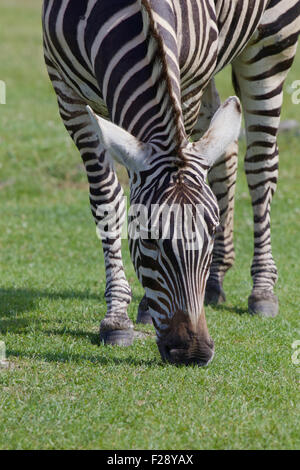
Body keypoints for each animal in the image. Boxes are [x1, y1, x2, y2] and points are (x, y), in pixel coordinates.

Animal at [42, 0, 300, 366]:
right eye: (148, 238)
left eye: (210, 231)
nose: (193, 353)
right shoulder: (66, 94)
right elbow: (107, 199)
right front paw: (116, 317)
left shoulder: (189, 84)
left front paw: (142, 308)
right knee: (225, 149)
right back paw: (216, 281)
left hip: (272, 43)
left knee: (261, 163)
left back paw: (262, 289)